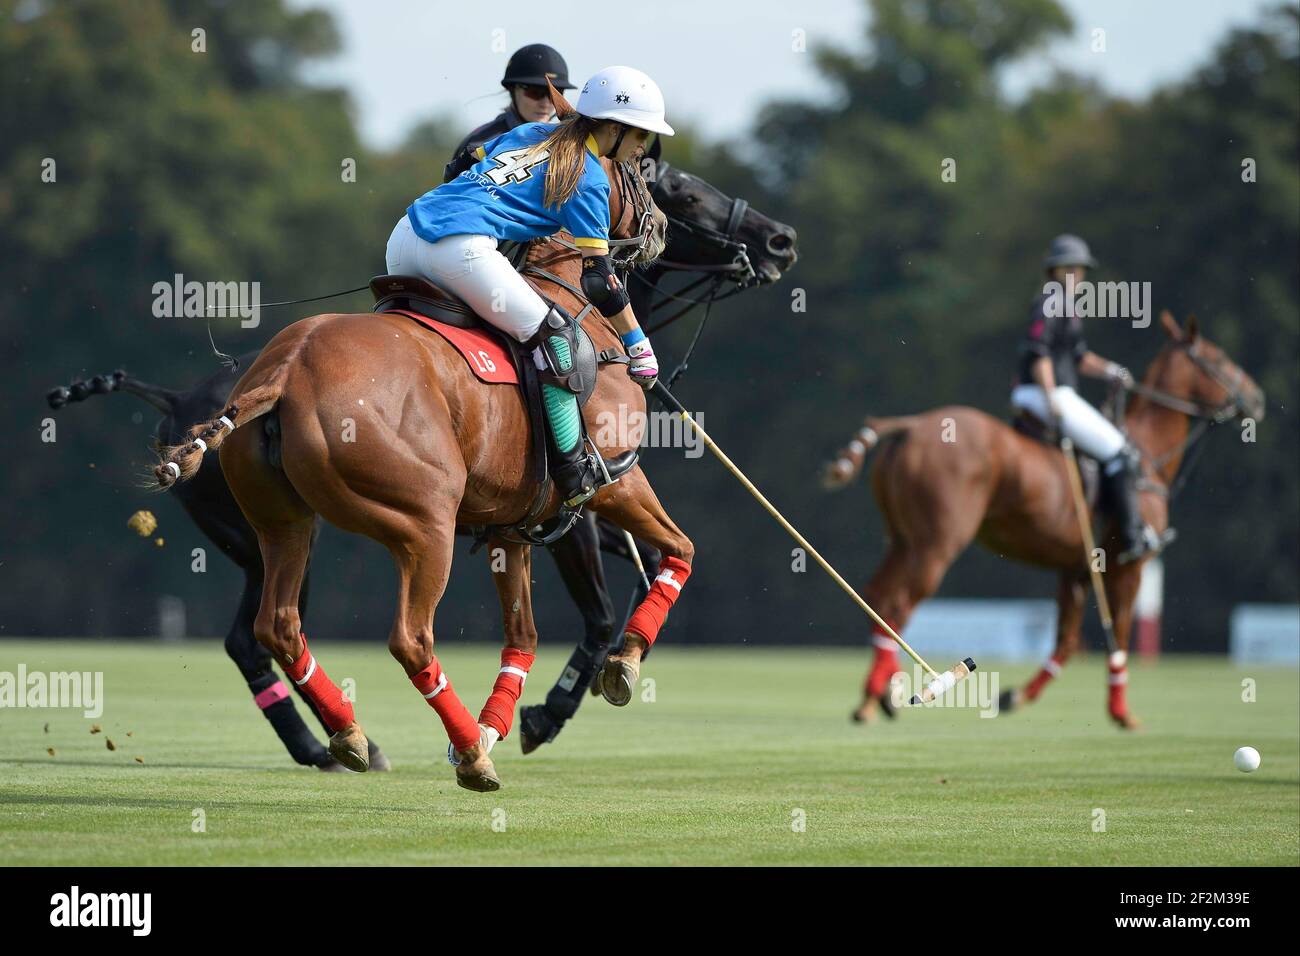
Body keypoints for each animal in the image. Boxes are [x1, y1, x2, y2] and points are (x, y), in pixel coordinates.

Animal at [826, 314, 1263, 723]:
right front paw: (1122, 712)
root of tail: (913, 424)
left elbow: (1066, 642)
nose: (1256, 398)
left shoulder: (1076, 568)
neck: (1147, 455)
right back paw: (881, 695)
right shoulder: (1129, 565)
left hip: (903, 538)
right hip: (937, 543)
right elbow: (1118, 637)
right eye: (1217, 358)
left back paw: (876, 696)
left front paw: (1014, 697)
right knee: (898, 604)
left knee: (877, 594)